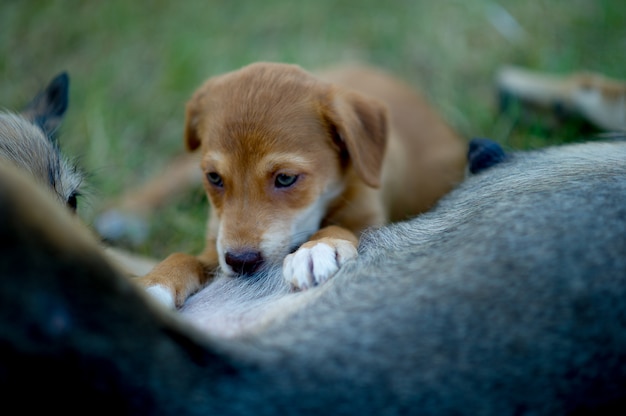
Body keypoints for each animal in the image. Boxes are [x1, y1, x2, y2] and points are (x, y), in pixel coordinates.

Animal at [140, 63, 464, 308]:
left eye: (285, 178)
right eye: (214, 178)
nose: (241, 262)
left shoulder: (371, 221)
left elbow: (339, 227)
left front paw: (317, 248)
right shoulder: (217, 247)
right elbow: (183, 257)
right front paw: (154, 283)